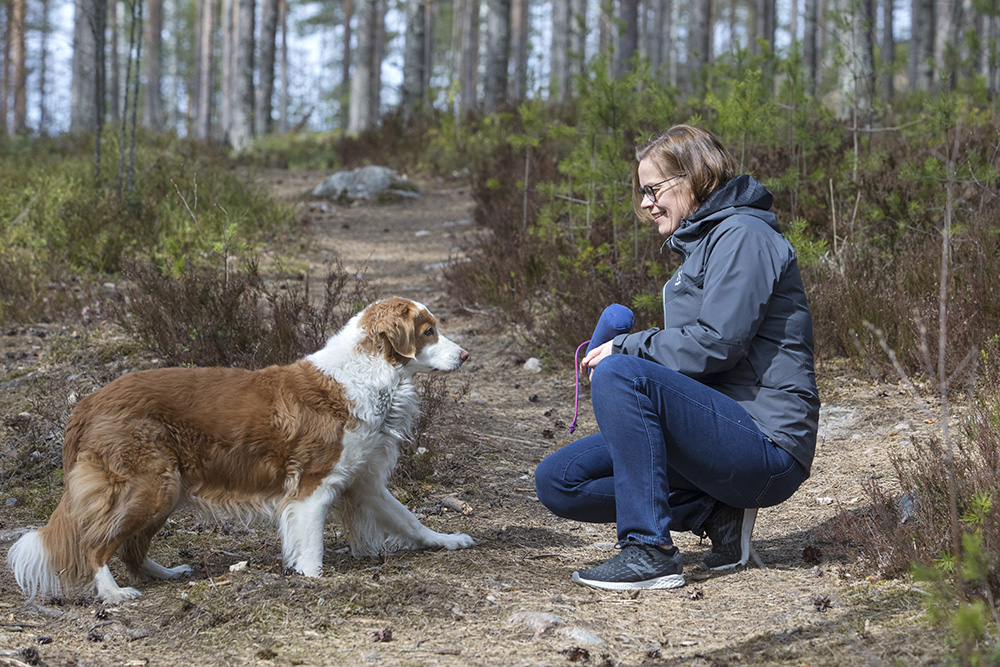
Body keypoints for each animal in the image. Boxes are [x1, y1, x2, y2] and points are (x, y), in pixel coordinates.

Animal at [6, 300, 476, 604]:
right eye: (429, 331)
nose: (466, 355)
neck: (368, 374)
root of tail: (88, 401)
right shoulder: (312, 486)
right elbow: (311, 544)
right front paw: (312, 578)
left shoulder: (363, 483)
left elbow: (410, 520)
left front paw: (446, 540)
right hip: (149, 486)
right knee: (96, 543)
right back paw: (113, 592)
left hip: (166, 489)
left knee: (130, 548)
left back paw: (167, 573)